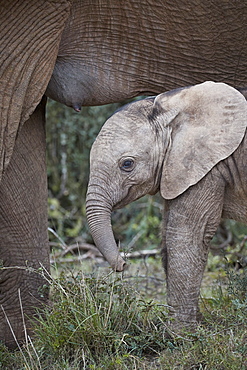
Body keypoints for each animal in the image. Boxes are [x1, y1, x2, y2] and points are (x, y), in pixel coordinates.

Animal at [86, 82, 247, 334]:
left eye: (127, 164)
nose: (123, 265)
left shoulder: (208, 168)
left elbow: (184, 235)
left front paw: (181, 335)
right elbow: (167, 236)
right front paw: (196, 324)